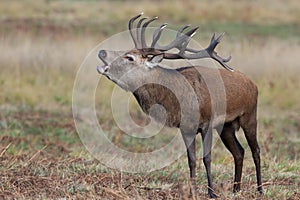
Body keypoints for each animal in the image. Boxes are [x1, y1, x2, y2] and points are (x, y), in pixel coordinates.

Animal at [96, 13, 262, 198]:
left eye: (130, 57)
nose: (102, 52)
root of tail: (253, 84)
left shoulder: (207, 122)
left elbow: (207, 158)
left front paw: (211, 193)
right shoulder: (186, 128)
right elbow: (191, 160)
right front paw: (192, 192)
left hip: (250, 115)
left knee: (256, 150)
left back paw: (260, 189)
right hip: (227, 126)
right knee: (239, 152)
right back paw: (236, 189)